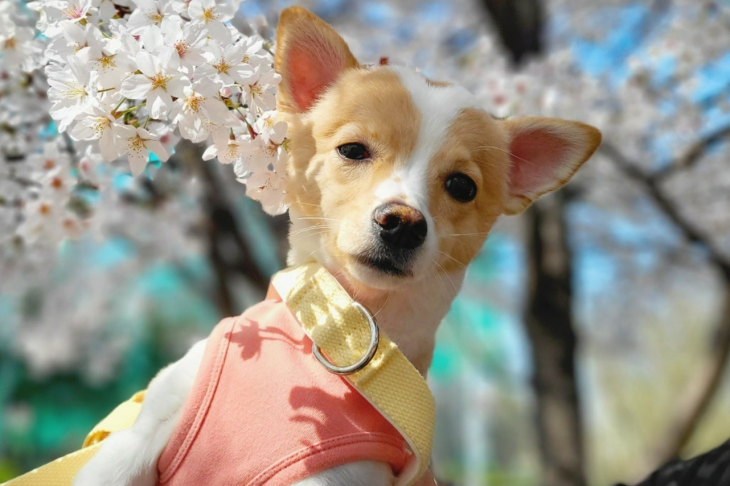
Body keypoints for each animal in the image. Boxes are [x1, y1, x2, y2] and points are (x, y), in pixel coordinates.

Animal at [71, 6, 600, 486]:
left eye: (462, 186)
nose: (403, 223)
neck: (344, 327)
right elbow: (115, 464)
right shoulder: (142, 433)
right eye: (352, 150)